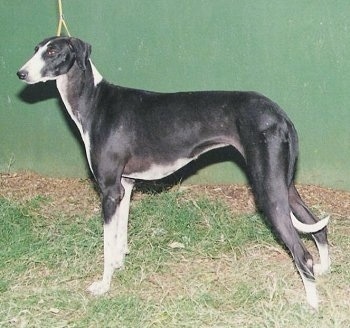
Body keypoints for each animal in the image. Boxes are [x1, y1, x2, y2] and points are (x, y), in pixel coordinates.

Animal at [17, 37, 330, 308]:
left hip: (268, 190)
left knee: (302, 254)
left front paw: (103, 285)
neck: (94, 101)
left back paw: (311, 304)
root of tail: (280, 114)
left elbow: (107, 244)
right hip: (284, 185)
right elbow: (119, 237)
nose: (21, 73)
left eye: (52, 52)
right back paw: (326, 269)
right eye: (36, 49)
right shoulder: (125, 187)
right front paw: (120, 264)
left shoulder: (108, 191)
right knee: (318, 225)